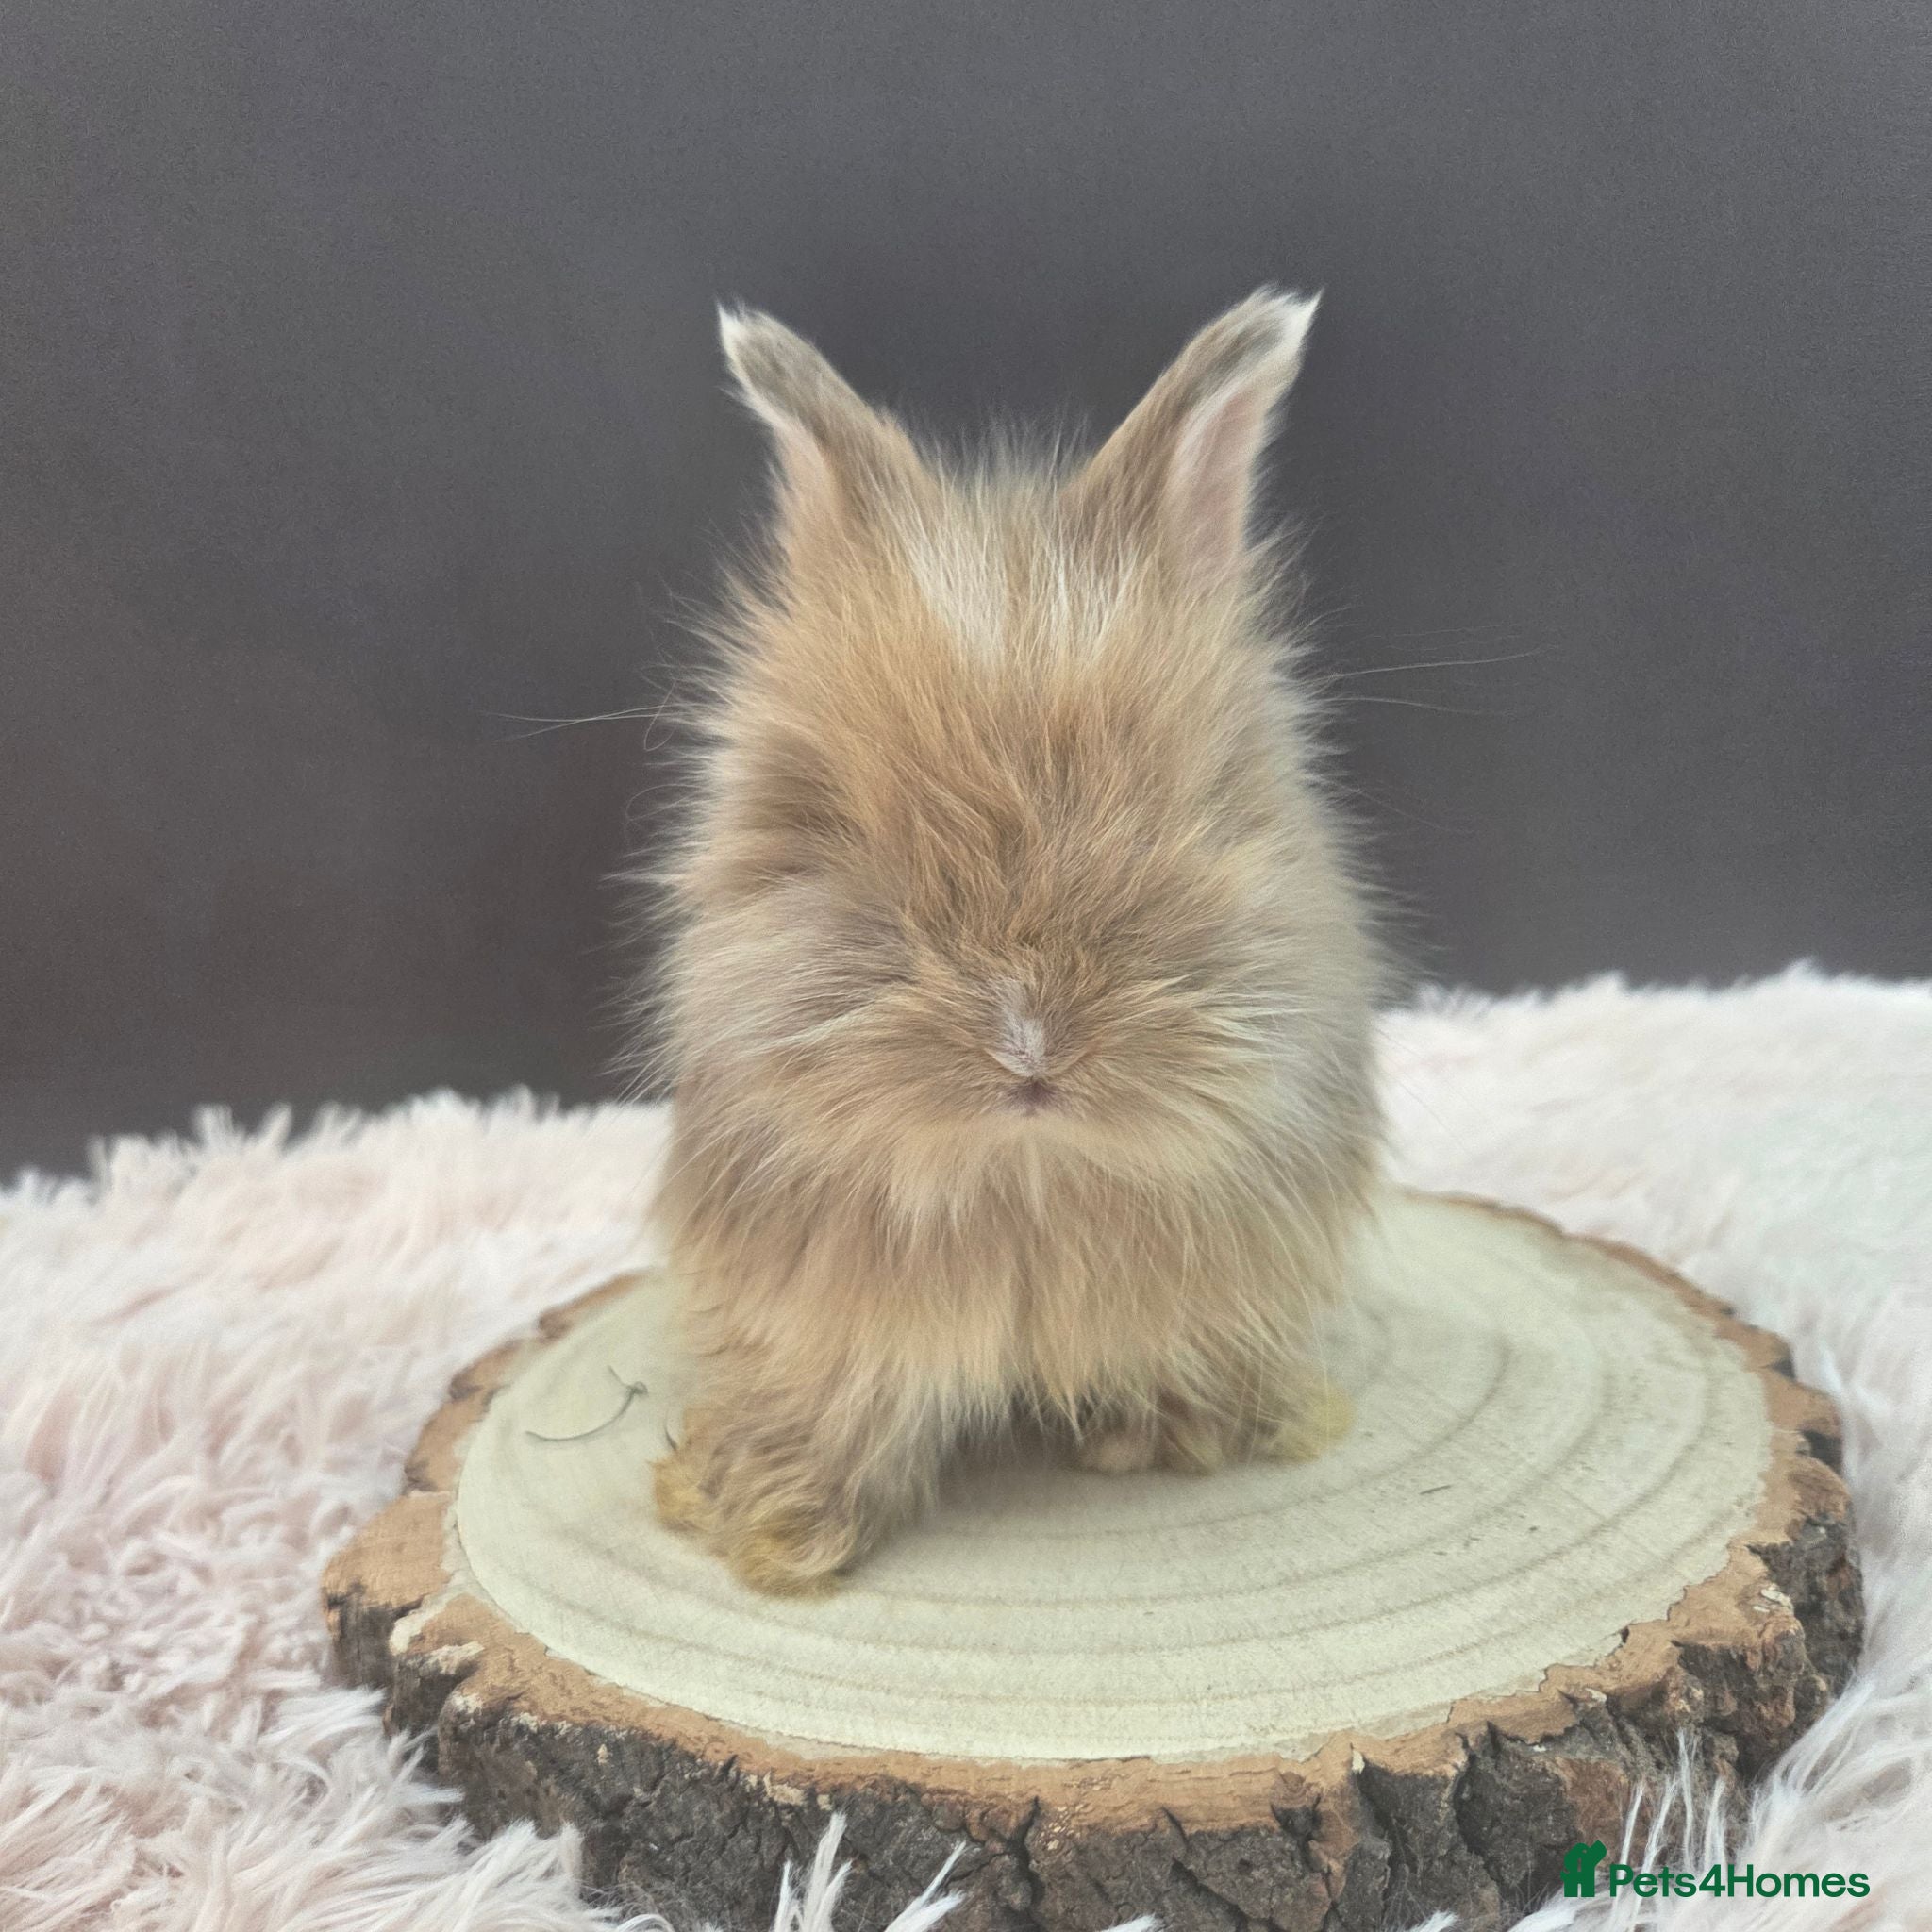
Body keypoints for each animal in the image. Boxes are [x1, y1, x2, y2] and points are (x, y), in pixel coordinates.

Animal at [644, 289, 1382, 1594]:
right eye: (834, 822)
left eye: (1180, 807)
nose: (1029, 1045)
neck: (1023, 1180)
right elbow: (845, 1398)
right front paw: (775, 1521)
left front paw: (1170, 1431)